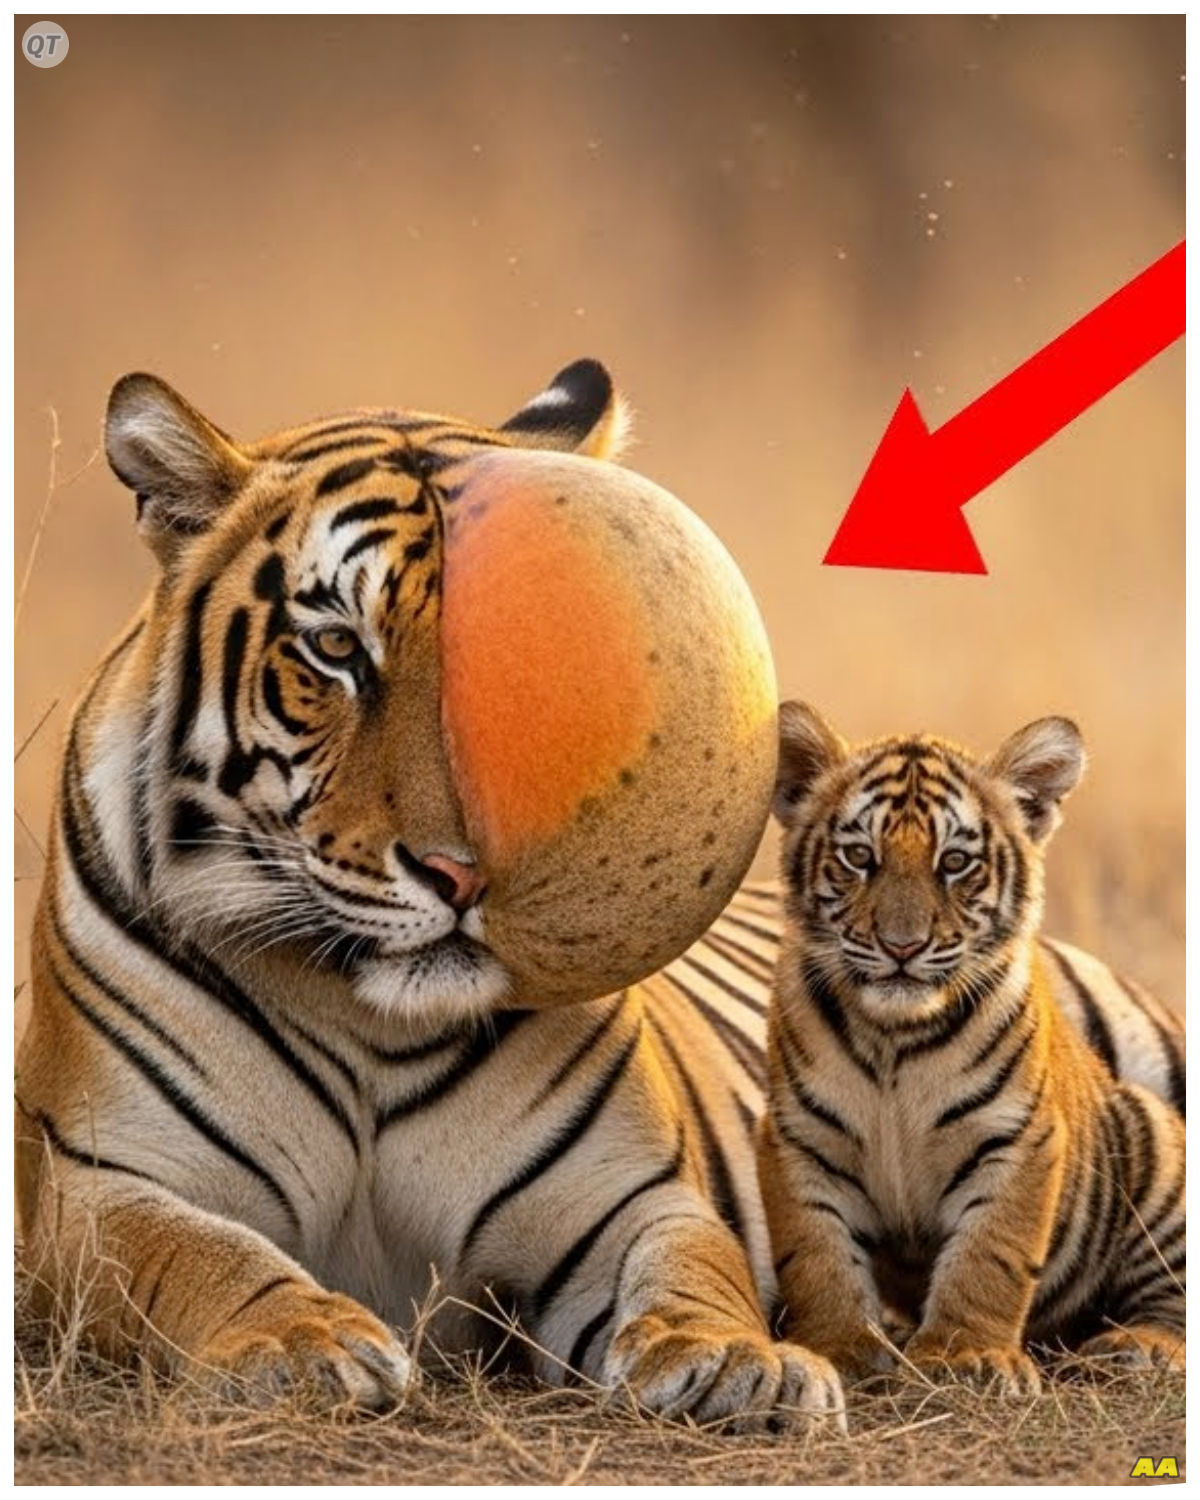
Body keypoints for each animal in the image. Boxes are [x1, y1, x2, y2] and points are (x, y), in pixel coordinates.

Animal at [15, 360, 846, 1429]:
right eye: (336, 647)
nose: (464, 872)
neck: (369, 1018)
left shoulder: (627, 1196)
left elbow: (694, 1269)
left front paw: (742, 1362)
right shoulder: (98, 1184)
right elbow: (198, 1258)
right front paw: (305, 1343)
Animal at [757, 701, 1185, 1395]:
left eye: (955, 862)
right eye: (858, 856)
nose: (902, 946)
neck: (894, 1041)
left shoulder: (1015, 1137)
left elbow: (990, 1253)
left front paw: (965, 1356)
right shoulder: (799, 1137)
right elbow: (815, 1254)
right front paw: (840, 1348)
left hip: (1156, 1140)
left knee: (1171, 1295)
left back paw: (1137, 1347)